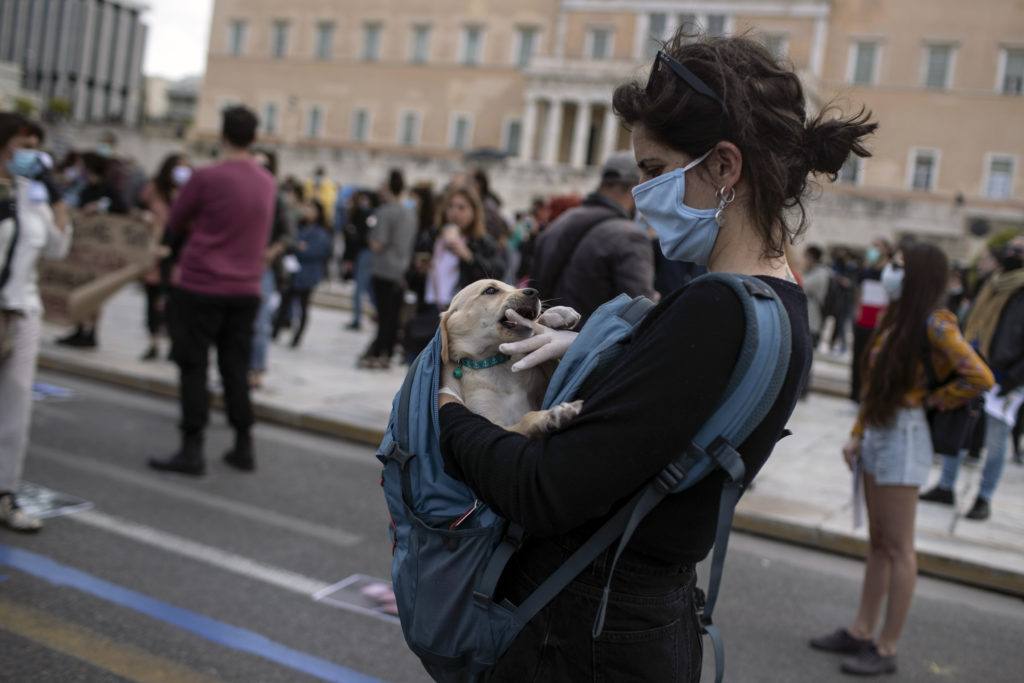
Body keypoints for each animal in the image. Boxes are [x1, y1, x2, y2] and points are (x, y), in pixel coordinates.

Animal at [440, 278, 585, 438]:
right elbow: (524, 421)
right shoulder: (491, 420)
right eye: (490, 290)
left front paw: (555, 315)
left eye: (513, 287)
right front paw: (549, 416)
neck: (497, 363)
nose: (534, 292)